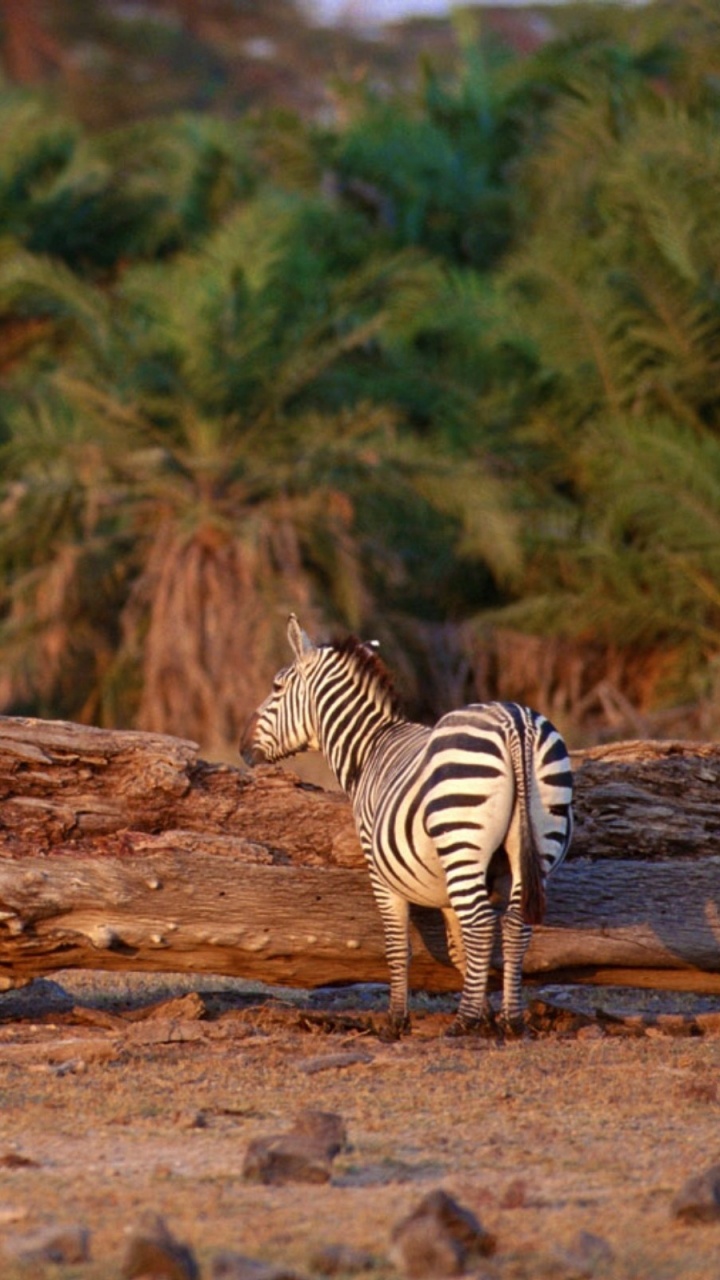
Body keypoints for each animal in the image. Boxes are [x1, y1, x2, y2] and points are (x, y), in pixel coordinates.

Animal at [241, 615, 573, 1038]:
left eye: (276, 687)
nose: (241, 747)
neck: (369, 750)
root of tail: (516, 722)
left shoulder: (379, 869)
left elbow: (399, 946)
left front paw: (398, 1020)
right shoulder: (450, 885)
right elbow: (459, 947)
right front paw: (483, 1012)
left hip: (462, 838)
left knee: (483, 924)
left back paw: (462, 1023)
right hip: (537, 842)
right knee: (514, 925)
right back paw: (511, 1020)